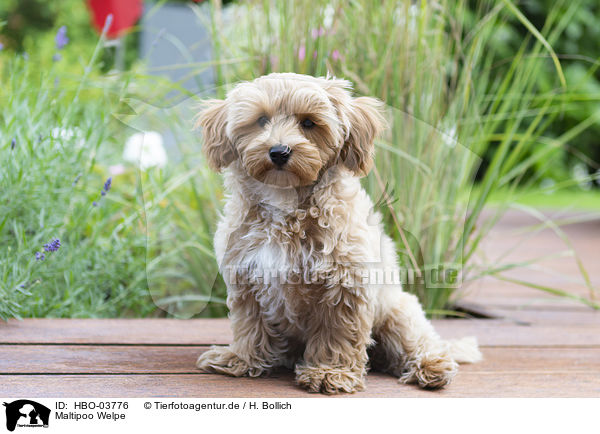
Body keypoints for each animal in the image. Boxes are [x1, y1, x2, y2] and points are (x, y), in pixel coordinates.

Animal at [197, 72, 482, 394]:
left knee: (418, 342)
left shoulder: (344, 283)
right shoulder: (245, 276)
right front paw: (242, 359)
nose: (279, 151)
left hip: (399, 312)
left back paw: (432, 366)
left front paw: (328, 372)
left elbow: (337, 331)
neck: (286, 204)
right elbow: (249, 323)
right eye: (260, 120)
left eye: (309, 123)